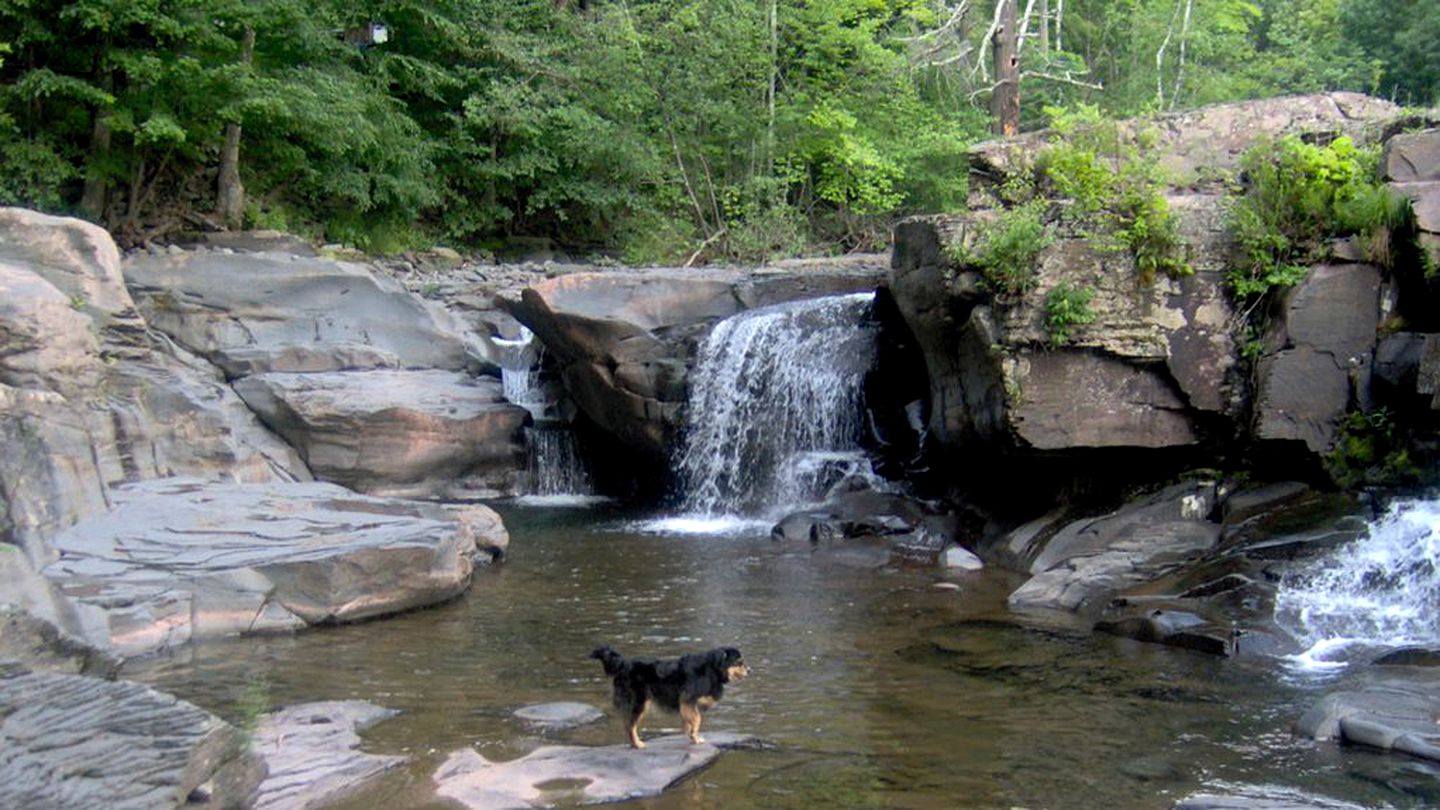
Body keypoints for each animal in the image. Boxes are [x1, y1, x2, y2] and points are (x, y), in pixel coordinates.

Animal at [590, 639, 754, 749]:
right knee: (630, 726)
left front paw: (691, 734)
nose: (750, 670)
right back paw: (637, 744)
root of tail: (624, 664)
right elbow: (697, 719)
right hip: (639, 702)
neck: (712, 667)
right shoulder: (687, 698)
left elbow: (692, 718)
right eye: (739, 662)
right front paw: (694, 737)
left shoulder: (689, 702)